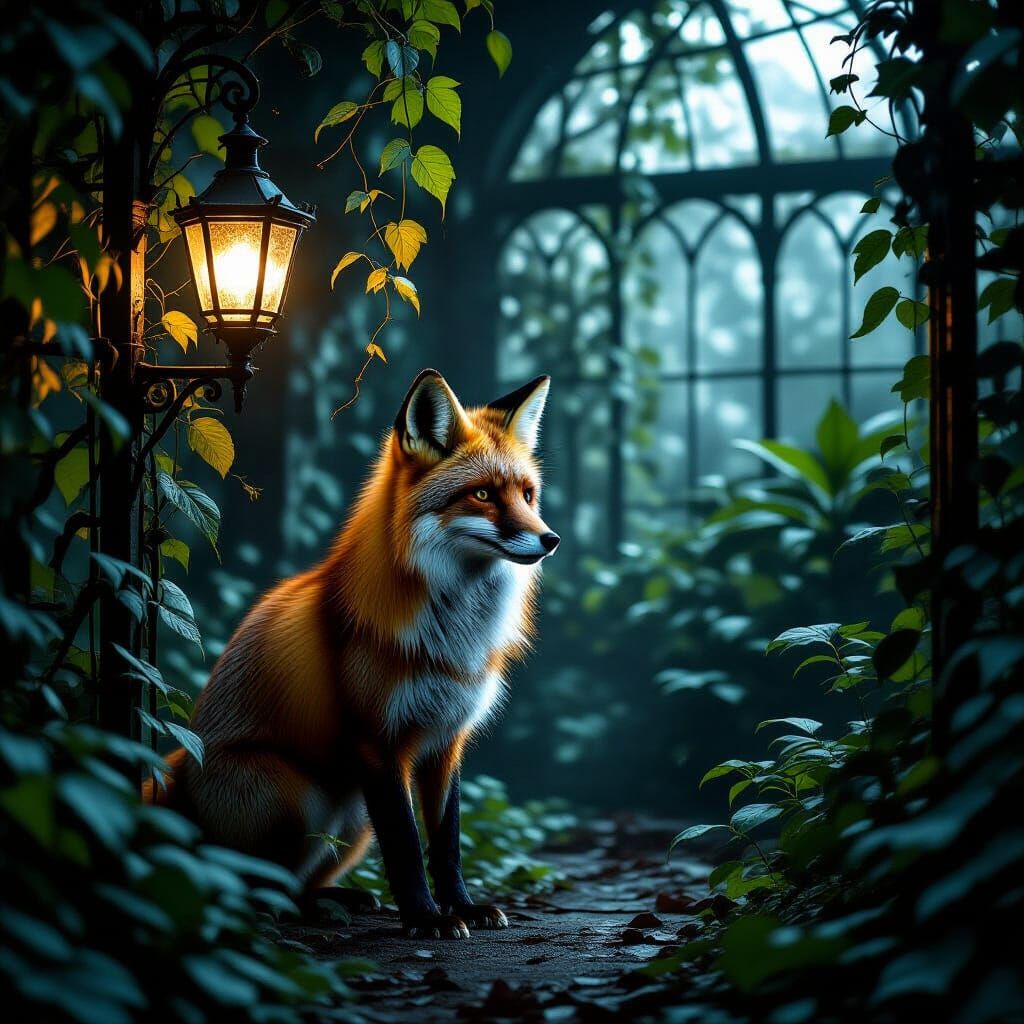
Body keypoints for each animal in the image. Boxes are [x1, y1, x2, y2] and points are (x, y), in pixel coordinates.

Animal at [144, 368, 558, 939]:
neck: (451, 636)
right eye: (481, 494)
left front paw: (463, 907)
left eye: (527, 494)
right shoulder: (378, 743)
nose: (550, 539)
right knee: (237, 883)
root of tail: (178, 769)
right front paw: (425, 918)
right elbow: (406, 845)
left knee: (292, 884)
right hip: (295, 794)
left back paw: (336, 900)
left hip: (352, 814)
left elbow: (446, 843)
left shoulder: (445, 741)